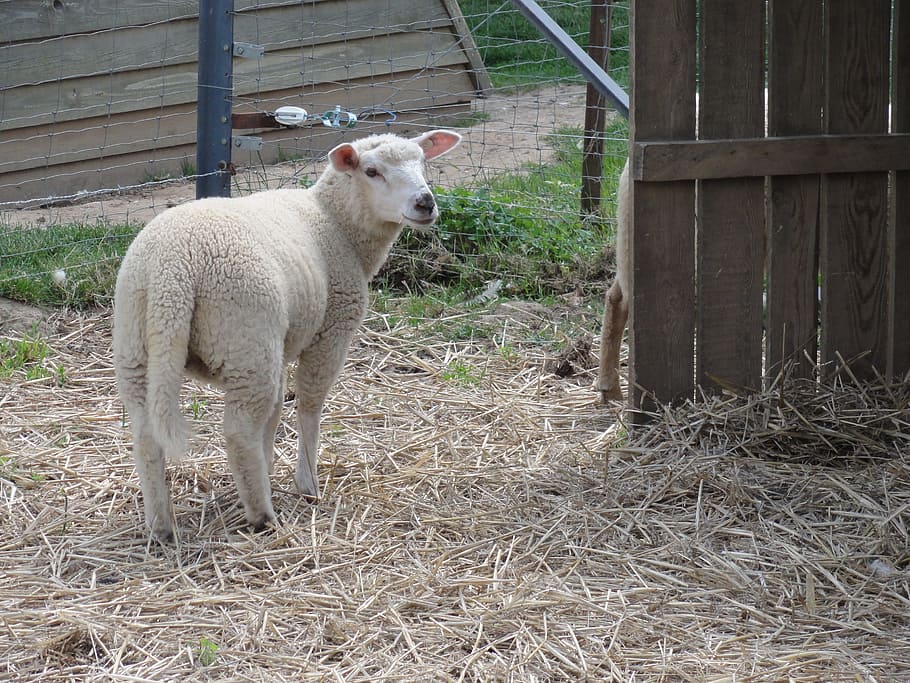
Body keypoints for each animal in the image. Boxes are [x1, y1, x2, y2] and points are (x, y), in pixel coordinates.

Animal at [113, 129, 462, 542]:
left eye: (422, 162)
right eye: (371, 171)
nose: (425, 203)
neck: (336, 224)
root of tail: (174, 266)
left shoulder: (280, 347)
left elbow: (276, 412)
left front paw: (269, 467)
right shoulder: (331, 332)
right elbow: (308, 407)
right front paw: (307, 483)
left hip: (139, 344)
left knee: (146, 433)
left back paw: (161, 525)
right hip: (246, 339)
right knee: (239, 431)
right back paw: (262, 516)